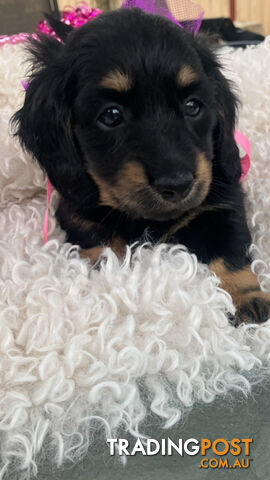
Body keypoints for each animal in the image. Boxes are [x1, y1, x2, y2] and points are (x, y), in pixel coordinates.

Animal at [13, 7, 270, 324]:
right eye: (111, 115)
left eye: (193, 106)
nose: (178, 184)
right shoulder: (75, 211)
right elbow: (97, 238)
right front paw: (111, 271)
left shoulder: (222, 203)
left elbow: (230, 248)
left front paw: (248, 298)